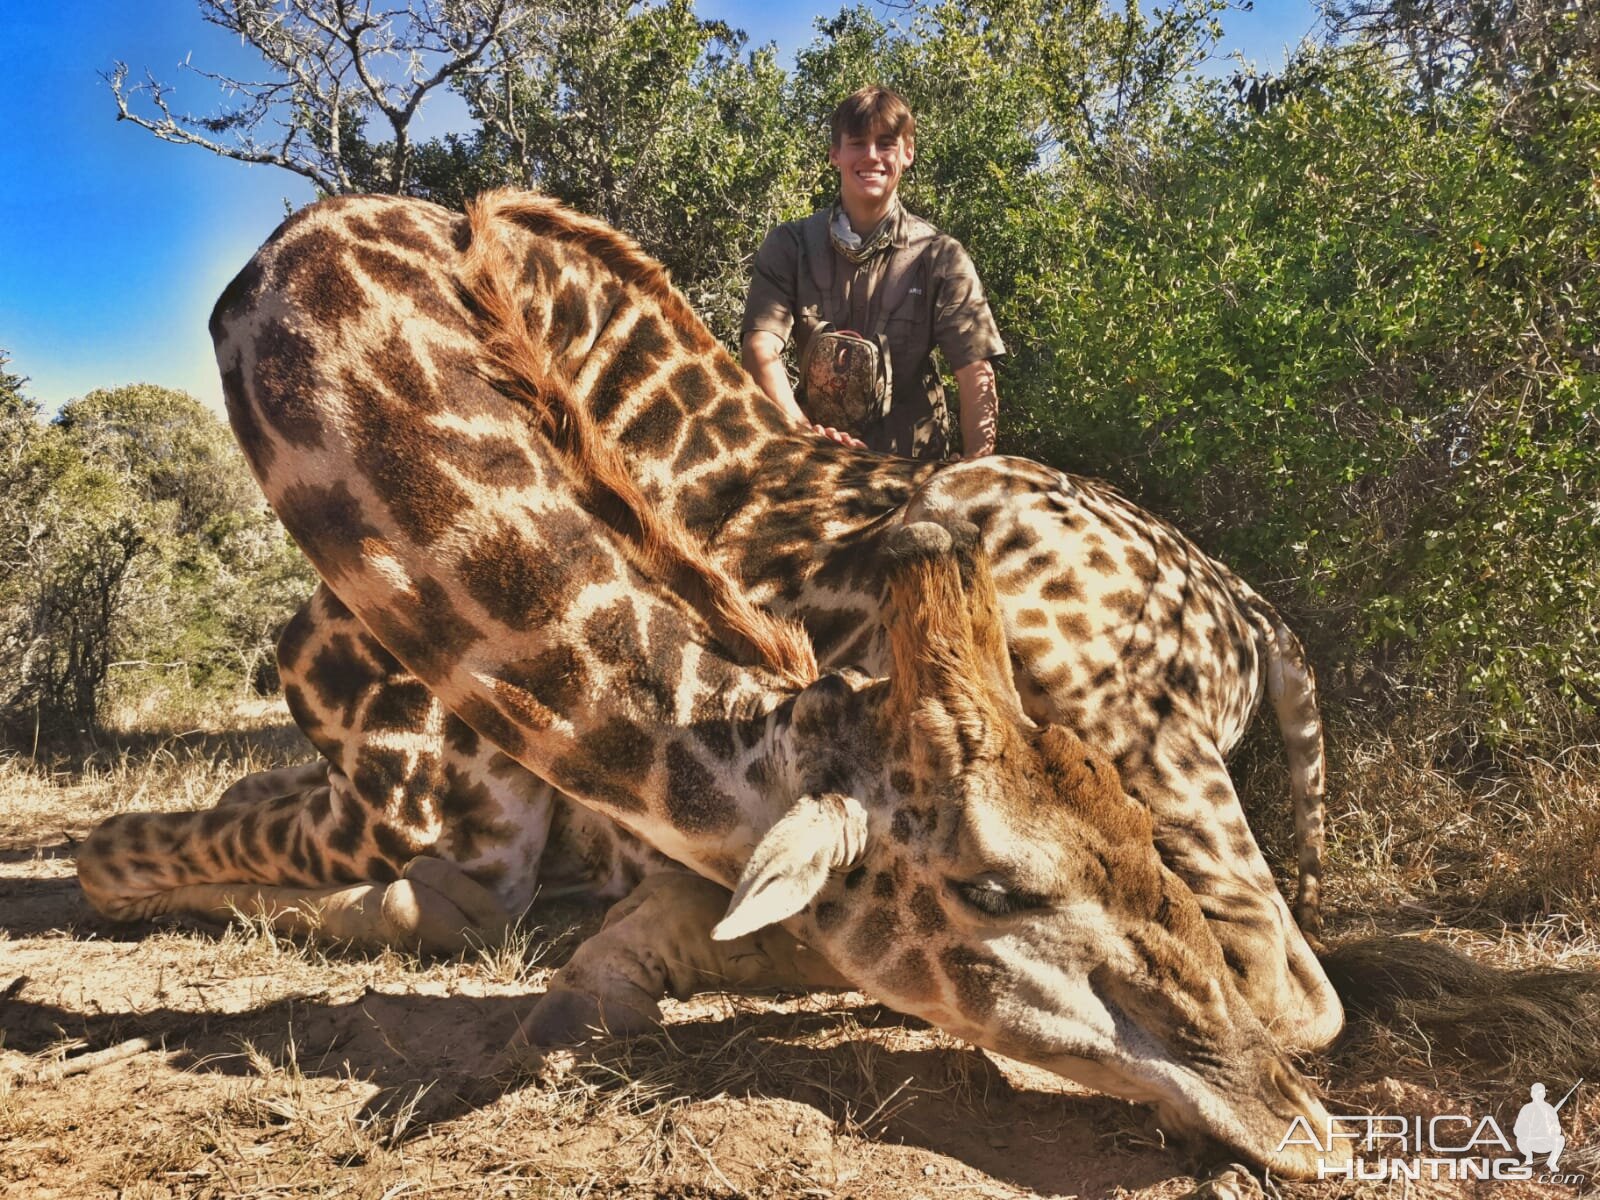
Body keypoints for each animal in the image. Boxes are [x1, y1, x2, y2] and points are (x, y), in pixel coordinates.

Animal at [78, 224, 1350, 1177]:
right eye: (991, 887)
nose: (1303, 1131)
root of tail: (1250, 613)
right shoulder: (388, 795)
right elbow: (136, 844)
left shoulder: (427, 811)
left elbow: (125, 857)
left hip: (1146, 727)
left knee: (1294, 986)